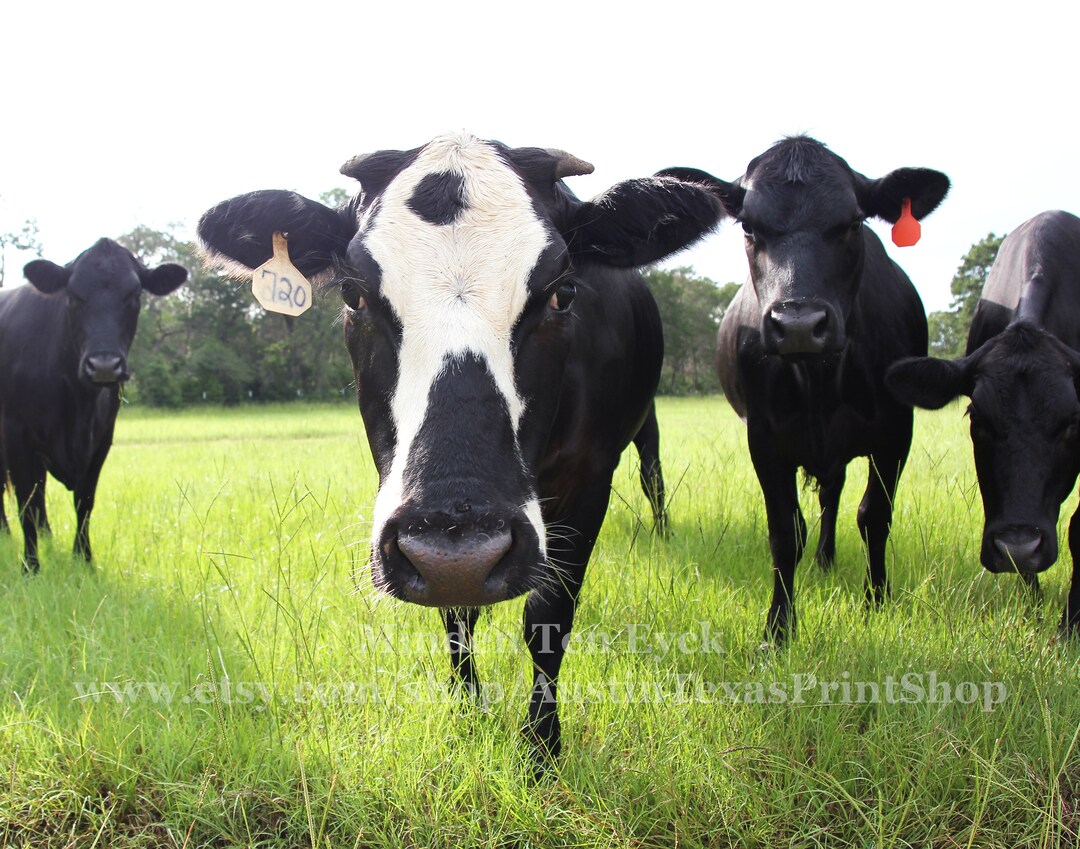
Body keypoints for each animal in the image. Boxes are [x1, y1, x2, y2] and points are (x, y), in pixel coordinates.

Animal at [0, 238, 187, 571]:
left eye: (134, 295)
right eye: (73, 296)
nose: (103, 365)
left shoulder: (101, 440)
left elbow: (84, 501)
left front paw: (84, 560)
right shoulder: (16, 434)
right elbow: (27, 503)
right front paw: (30, 567)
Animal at [196, 131, 724, 764]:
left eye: (563, 292)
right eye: (353, 293)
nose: (461, 553)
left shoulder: (590, 474)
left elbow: (549, 615)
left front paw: (541, 746)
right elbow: (456, 613)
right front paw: (467, 710)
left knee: (653, 473)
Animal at [659, 136, 949, 645]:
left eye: (852, 222)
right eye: (749, 226)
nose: (798, 324)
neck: (820, 382)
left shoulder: (896, 432)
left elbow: (874, 516)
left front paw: (877, 600)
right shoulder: (765, 440)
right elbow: (784, 531)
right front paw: (778, 627)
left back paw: (828, 560)